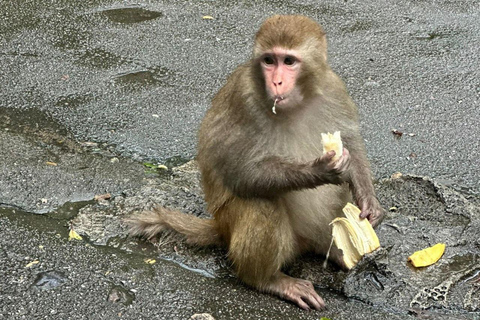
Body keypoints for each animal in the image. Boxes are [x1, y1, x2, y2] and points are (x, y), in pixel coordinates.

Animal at [126, 14, 382, 310]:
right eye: (269, 60)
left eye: (289, 61)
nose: (277, 82)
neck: (296, 104)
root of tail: (221, 229)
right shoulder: (242, 100)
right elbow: (242, 175)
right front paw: (319, 170)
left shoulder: (334, 88)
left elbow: (351, 142)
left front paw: (369, 202)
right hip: (234, 227)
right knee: (261, 202)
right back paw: (267, 279)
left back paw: (338, 253)